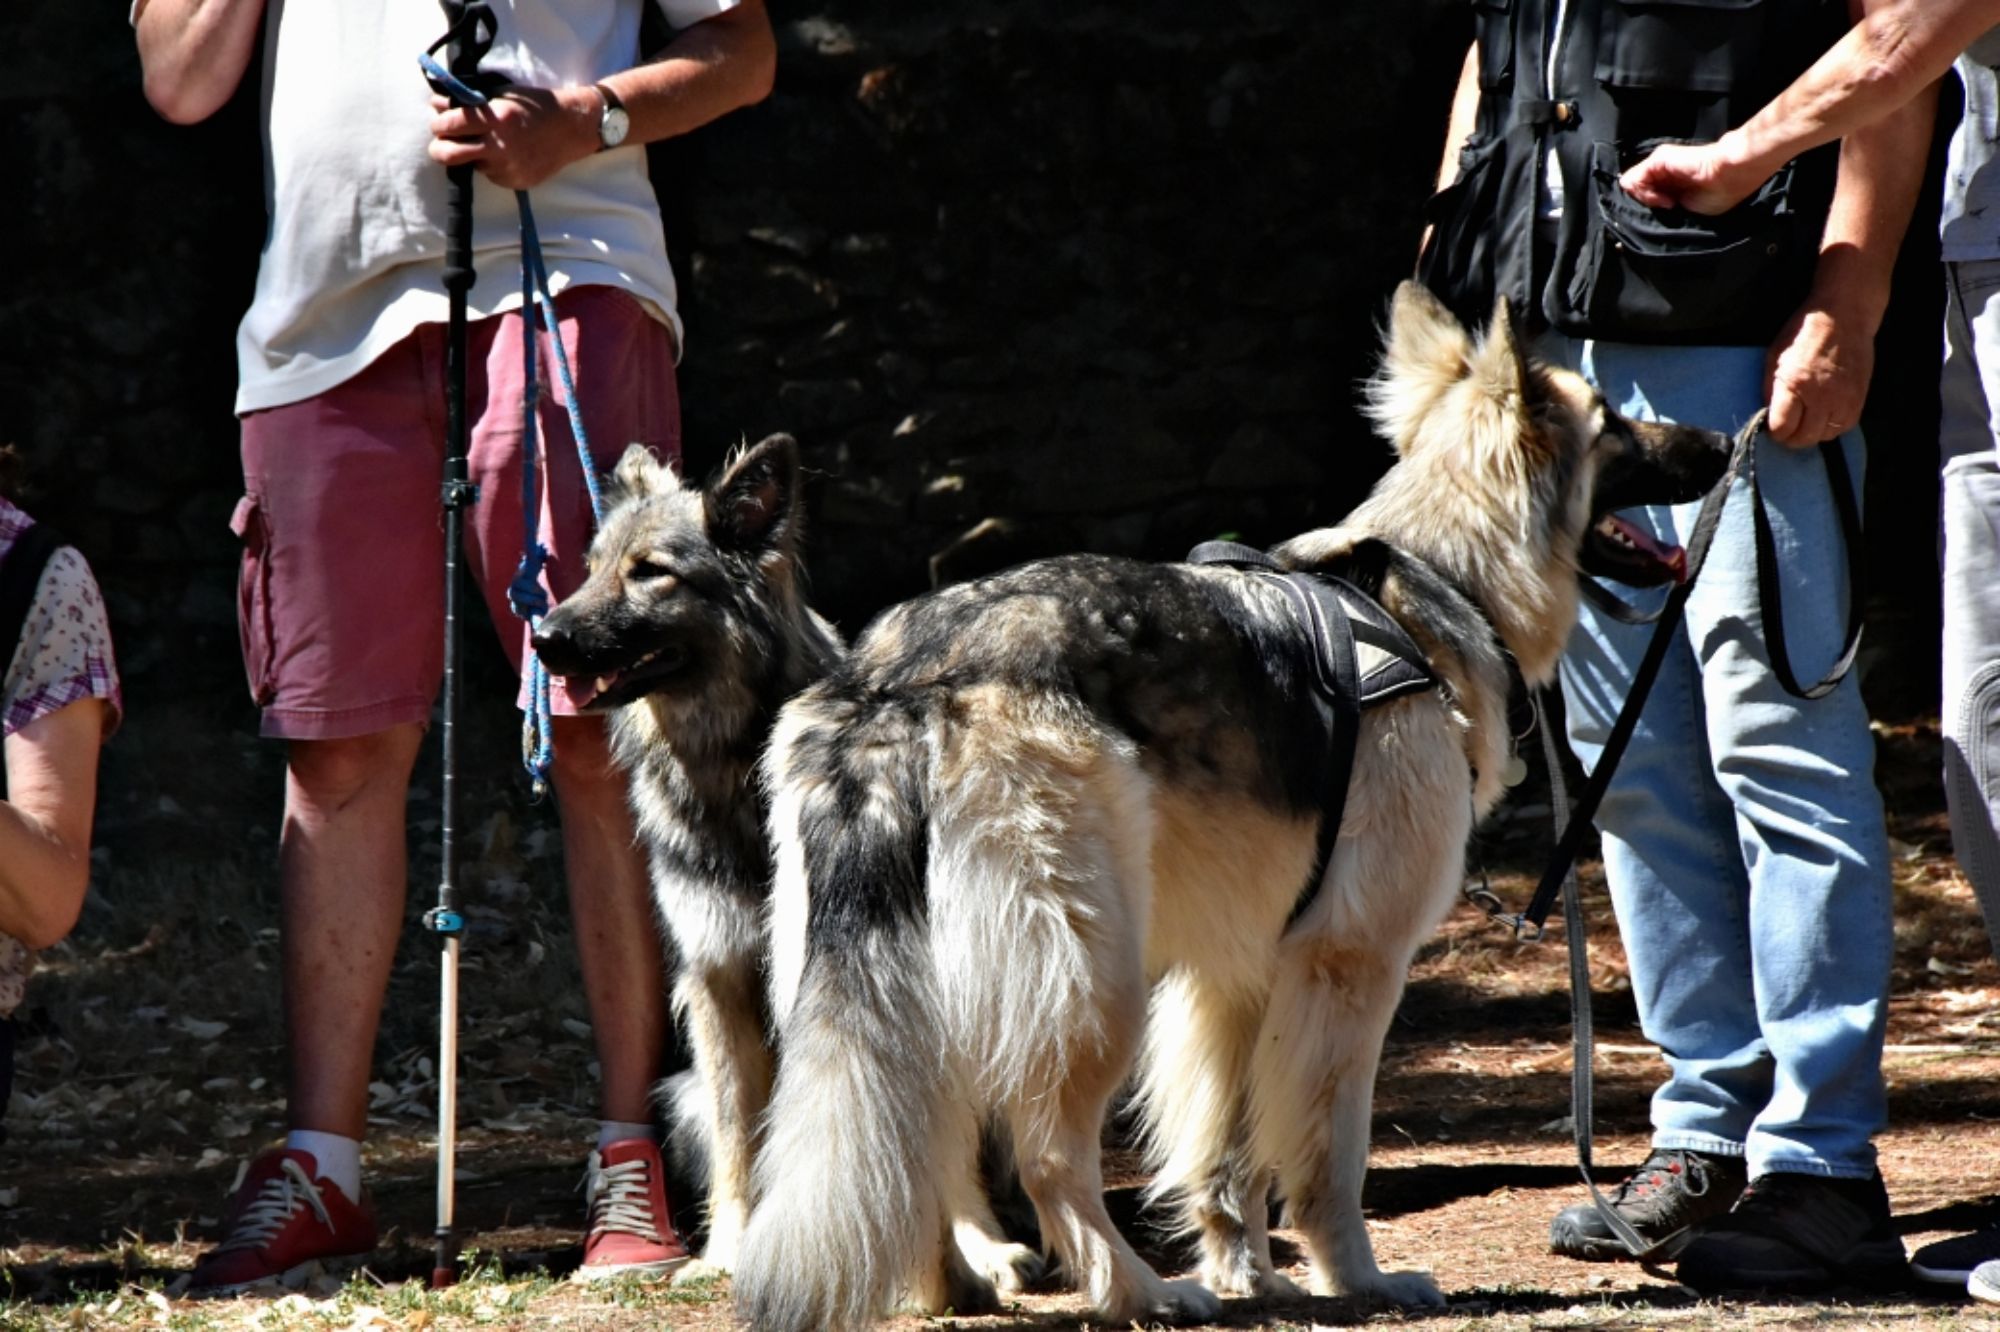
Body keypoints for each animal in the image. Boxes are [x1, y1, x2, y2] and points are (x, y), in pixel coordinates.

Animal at [531, 436, 1039, 1292]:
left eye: (650, 571)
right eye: (591, 567)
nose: (544, 636)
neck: (732, 771)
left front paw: (963, 1247)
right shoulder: (718, 976)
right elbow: (742, 1133)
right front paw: (728, 1252)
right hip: (682, 1089)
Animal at [732, 283, 1732, 1330]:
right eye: (1614, 424)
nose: (1723, 442)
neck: (1436, 584)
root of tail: (899, 679)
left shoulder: (1234, 981)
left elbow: (1228, 1158)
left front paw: (1254, 1276)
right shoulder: (1349, 969)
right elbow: (1329, 1156)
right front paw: (1358, 1281)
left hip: (900, 974)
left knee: (928, 1136)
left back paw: (951, 1286)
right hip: (1094, 983)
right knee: (1046, 1154)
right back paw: (1139, 1290)